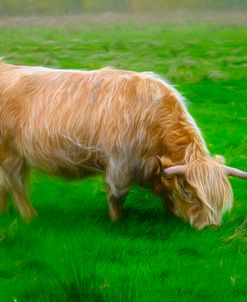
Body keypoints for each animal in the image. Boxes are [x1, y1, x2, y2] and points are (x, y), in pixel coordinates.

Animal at [0, 62, 246, 230]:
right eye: (193, 196)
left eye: (220, 200)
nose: (210, 227)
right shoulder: (120, 164)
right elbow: (117, 194)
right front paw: (117, 220)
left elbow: (166, 193)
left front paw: (172, 213)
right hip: (10, 154)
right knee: (16, 184)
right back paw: (30, 216)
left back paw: (4, 212)